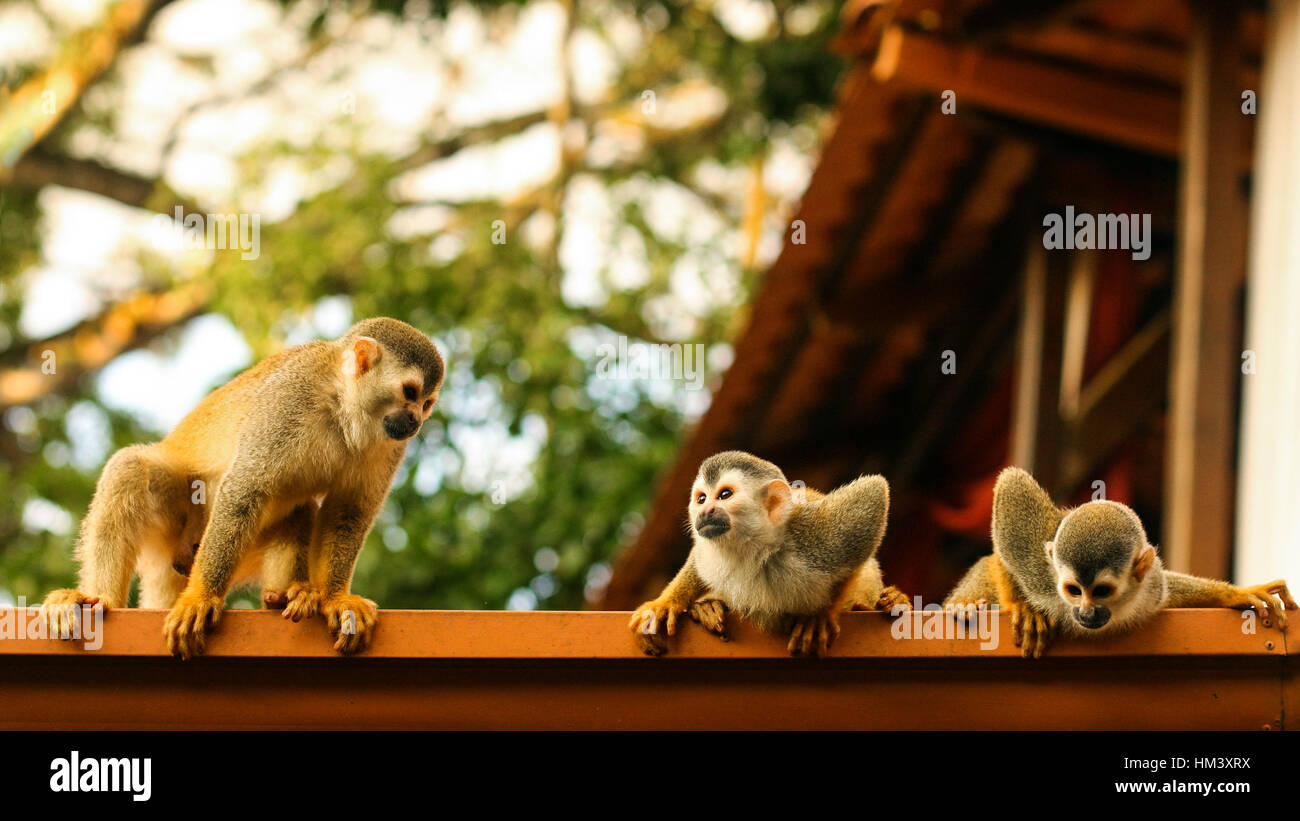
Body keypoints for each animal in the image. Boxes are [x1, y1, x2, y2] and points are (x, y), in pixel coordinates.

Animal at [40, 316, 447, 657]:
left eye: (427, 404)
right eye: (410, 392)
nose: (415, 422)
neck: (342, 406)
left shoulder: (390, 444)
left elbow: (348, 511)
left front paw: (335, 598)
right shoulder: (289, 399)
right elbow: (244, 490)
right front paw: (201, 598)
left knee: (298, 508)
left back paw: (286, 597)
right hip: (181, 526)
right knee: (130, 470)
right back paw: (99, 599)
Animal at [629, 452, 904, 657]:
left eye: (724, 495)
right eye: (702, 498)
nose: (704, 512)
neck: (756, 549)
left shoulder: (811, 536)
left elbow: (872, 496)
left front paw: (819, 616)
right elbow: (698, 558)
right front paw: (666, 603)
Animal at [946, 465, 1300, 657]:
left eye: (1101, 591)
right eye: (1074, 591)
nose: (1086, 612)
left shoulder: (1150, 587)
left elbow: (1168, 590)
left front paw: (1235, 594)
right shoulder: (1041, 576)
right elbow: (1012, 497)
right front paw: (1024, 608)